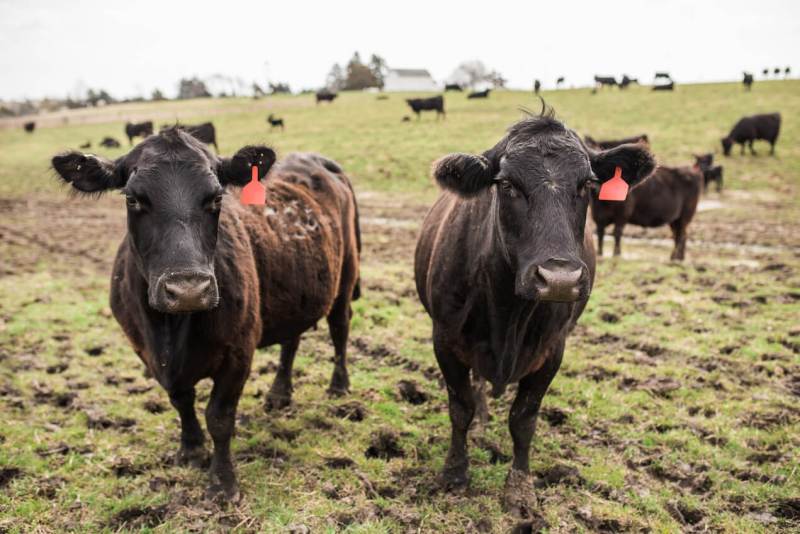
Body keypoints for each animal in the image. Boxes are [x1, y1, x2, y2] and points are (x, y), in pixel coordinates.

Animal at [50, 128, 361, 502]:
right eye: (134, 199)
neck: (169, 330)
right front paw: (191, 449)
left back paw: (339, 385)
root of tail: (316, 160)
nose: (188, 289)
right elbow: (181, 400)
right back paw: (279, 394)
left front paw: (223, 482)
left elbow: (220, 418)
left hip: (346, 276)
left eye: (215, 198)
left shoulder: (238, 353)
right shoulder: (146, 352)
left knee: (339, 327)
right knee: (291, 340)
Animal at [414, 108, 655, 513]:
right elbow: (460, 407)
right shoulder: (445, 339)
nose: (559, 279)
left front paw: (519, 489)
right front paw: (455, 473)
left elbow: (523, 419)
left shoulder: (551, 350)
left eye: (587, 184)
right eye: (507, 184)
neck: (508, 311)